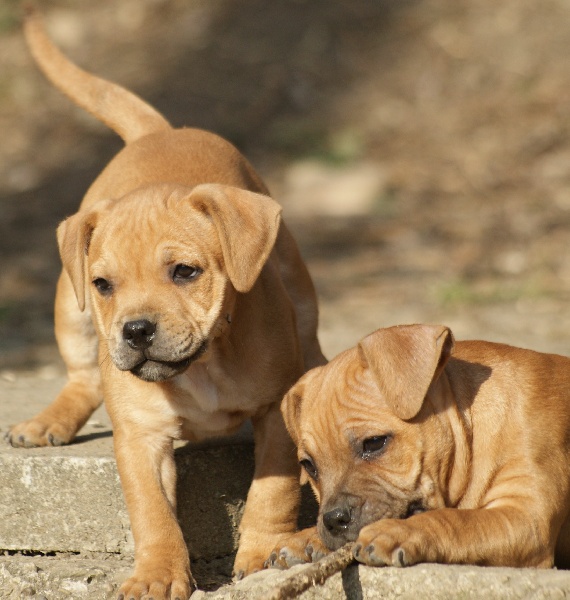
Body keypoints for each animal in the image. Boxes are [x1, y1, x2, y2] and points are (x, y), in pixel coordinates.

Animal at [6, 12, 324, 600]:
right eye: (104, 284)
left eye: (185, 272)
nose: (135, 331)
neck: (202, 366)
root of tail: (158, 132)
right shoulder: (139, 438)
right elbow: (151, 511)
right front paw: (157, 574)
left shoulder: (273, 416)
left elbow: (273, 490)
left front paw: (263, 550)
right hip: (69, 310)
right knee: (83, 377)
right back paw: (47, 422)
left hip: (297, 279)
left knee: (310, 335)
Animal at [270, 324, 568, 572]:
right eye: (309, 466)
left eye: (374, 443)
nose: (334, 519)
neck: (471, 429)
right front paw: (306, 538)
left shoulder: (528, 519)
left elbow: (460, 521)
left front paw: (397, 531)